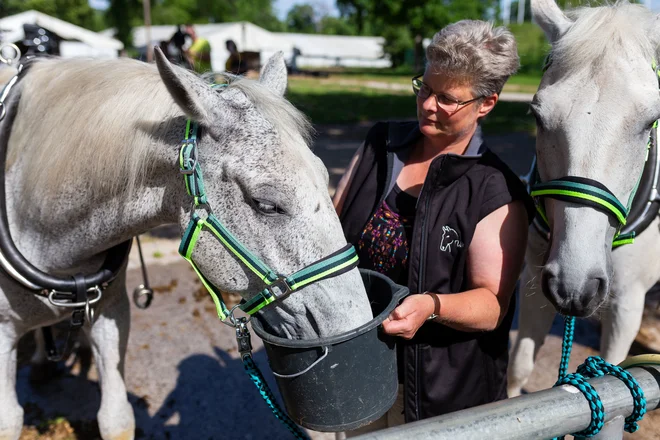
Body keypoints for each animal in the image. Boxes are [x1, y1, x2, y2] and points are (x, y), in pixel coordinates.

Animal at [0, 49, 372, 440]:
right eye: (266, 204)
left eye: (326, 177)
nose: (358, 331)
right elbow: (9, 421)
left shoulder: (111, 312)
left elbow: (116, 419)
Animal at [506, 0, 660, 398]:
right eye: (536, 115)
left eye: (650, 121)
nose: (576, 285)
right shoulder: (535, 281)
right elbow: (518, 370)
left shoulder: (626, 305)